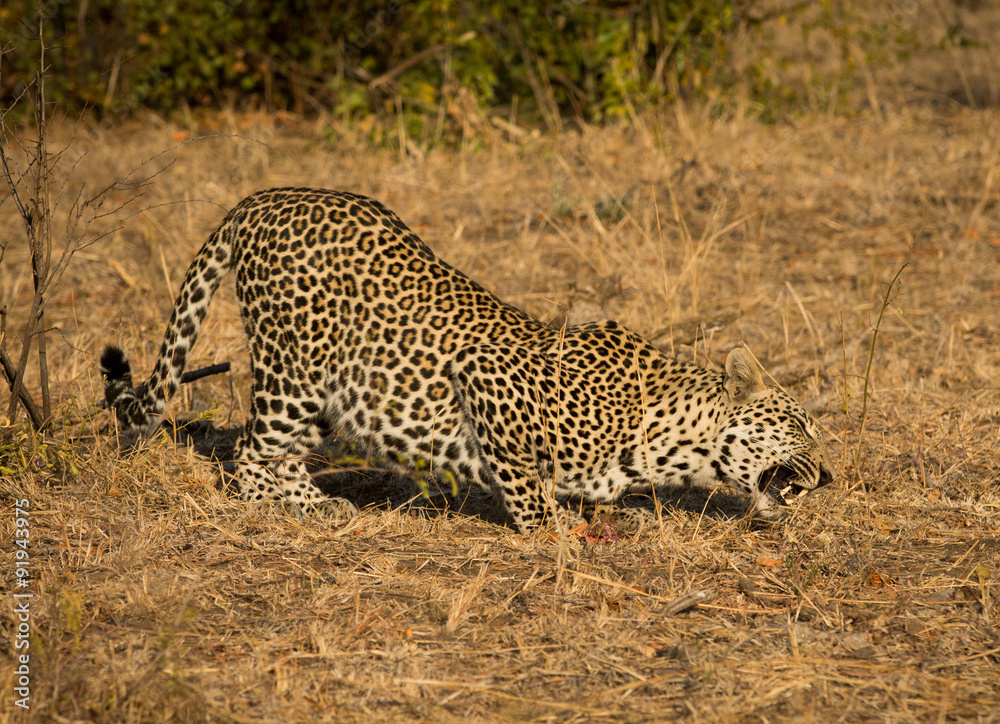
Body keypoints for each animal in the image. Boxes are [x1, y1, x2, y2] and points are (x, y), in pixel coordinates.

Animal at [100, 187, 833, 532]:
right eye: (799, 425)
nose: (827, 476)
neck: (667, 443)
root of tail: (264, 198)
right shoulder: (488, 377)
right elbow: (525, 484)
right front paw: (551, 527)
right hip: (294, 368)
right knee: (249, 451)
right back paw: (301, 507)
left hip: (327, 391)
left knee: (277, 450)